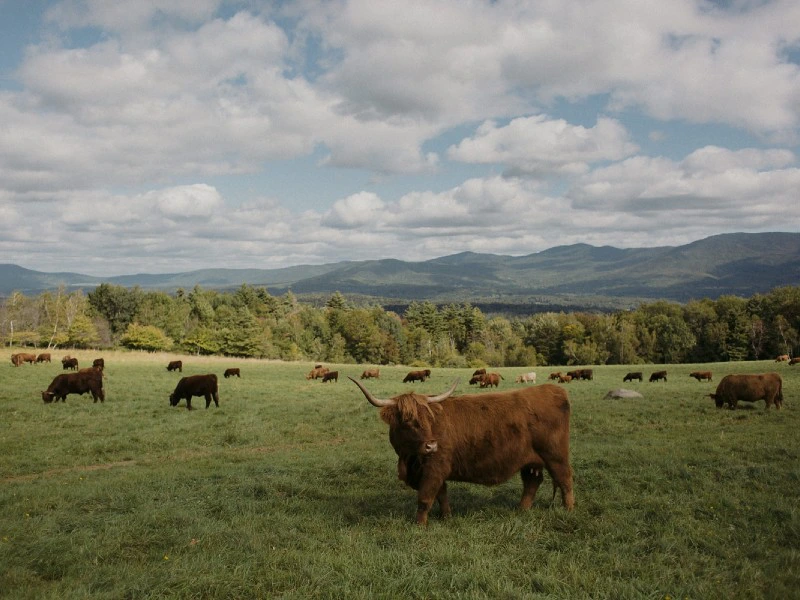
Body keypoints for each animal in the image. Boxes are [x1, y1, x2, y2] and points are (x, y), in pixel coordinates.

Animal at [349, 377, 574, 525]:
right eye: (406, 421)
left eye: (428, 418)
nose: (431, 445)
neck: (409, 459)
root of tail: (554, 390)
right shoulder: (435, 471)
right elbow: (442, 495)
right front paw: (446, 518)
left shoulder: (435, 468)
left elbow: (425, 498)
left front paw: (419, 525)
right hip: (530, 461)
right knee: (532, 483)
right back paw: (521, 510)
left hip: (556, 455)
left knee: (565, 480)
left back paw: (568, 510)